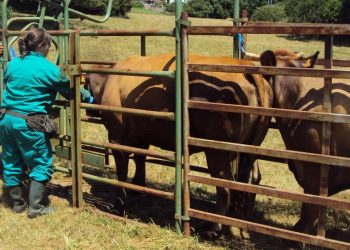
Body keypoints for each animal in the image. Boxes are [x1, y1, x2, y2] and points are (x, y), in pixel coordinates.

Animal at [85, 53, 274, 237]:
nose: (88, 110)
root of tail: (245, 67)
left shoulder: (116, 137)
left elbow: (122, 172)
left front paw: (118, 205)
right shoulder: (141, 136)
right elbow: (140, 159)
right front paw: (137, 187)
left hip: (217, 152)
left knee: (226, 186)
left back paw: (213, 229)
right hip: (249, 148)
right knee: (251, 177)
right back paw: (242, 221)